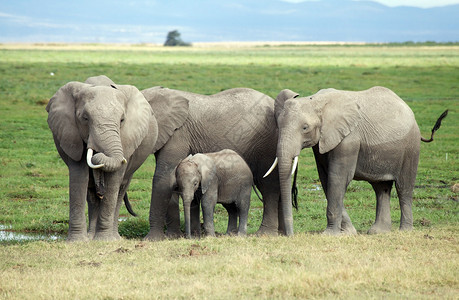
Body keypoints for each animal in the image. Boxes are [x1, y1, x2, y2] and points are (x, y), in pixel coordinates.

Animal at [143, 85, 284, 240]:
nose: (187, 237)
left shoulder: (178, 134)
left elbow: (163, 177)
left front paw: (152, 239)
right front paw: (178, 237)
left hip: (268, 142)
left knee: (267, 185)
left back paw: (263, 234)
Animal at [266, 85, 450, 236]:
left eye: (305, 128)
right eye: (278, 126)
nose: (290, 235)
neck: (316, 101)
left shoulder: (349, 139)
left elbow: (338, 178)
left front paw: (330, 235)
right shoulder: (322, 143)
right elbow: (326, 179)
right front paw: (348, 232)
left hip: (410, 147)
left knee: (404, 187)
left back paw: (404, 230)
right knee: (381, 188)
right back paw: (378, 232)